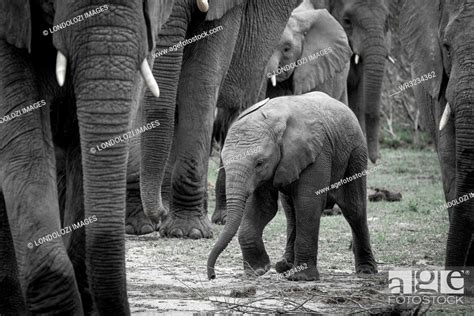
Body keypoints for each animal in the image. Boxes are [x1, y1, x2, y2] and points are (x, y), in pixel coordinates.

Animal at [207, 92, 378, 282]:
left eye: (259, 163)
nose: (212, 275)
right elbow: (263, 207)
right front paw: (257, 271)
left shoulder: (317, 154)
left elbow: (308, 204)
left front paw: (302, 278)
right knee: (291, 212)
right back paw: (284, 266)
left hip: (356, 153)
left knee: (353, 209)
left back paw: (366, 271)